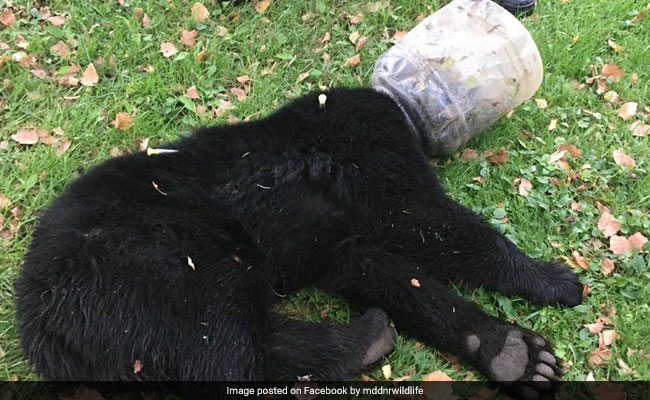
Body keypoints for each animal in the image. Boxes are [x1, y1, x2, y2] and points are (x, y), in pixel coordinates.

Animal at [14, 87, 582, 399]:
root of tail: (40, 323)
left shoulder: (333, 242)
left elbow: (382, 268)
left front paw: (510, 351)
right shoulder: (365, 136)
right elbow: (418, 217)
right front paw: (552, 280)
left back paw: (375, 333)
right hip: (164, 251)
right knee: (224, 346)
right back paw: (360, 340)